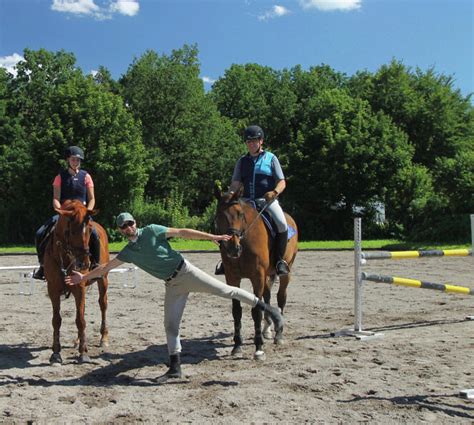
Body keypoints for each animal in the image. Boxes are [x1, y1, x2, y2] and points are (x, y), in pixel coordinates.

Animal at [42, 199, 109, 362]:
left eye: (89, 230)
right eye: (72, 231)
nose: (84, 263)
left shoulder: (79, 287)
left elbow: (80, 320)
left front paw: (83, 353)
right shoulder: (53, 289)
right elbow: (57, 320)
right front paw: (56, 352)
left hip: (103, 279)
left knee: (103, 304)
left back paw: (103, 338)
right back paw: (78, 340)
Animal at [214, 188, 296, 358]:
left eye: (240, 214)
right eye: (219, 214)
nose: (233, 248)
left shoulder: (257, 276)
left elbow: (256, 310)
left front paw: (259, 347)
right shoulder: (232, 277)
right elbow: (236, 310)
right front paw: (237, 345)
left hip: (285, 272)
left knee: (281, 297)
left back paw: (279, 334)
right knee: (268, 297)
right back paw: (267, 330)